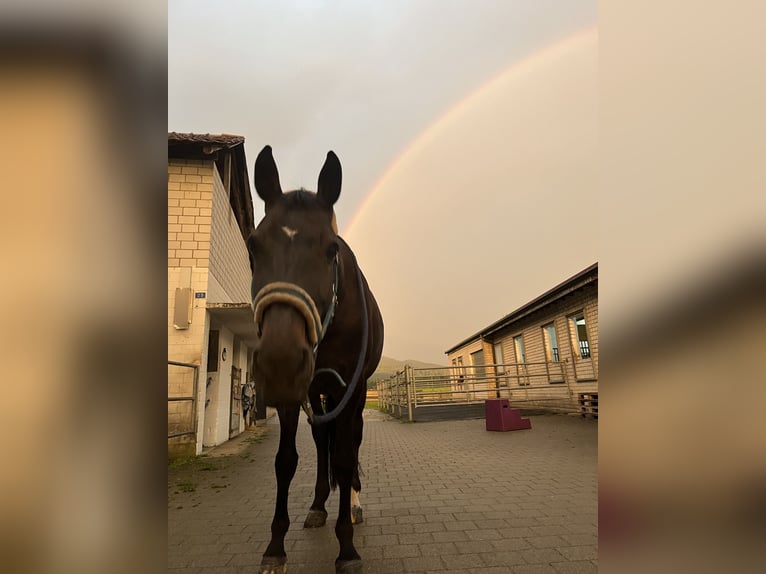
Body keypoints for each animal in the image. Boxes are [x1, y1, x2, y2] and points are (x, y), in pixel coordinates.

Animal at [250, 146, 384, 572]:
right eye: (253, 245)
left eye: (331, 249)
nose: (280, 360)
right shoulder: (295, 393)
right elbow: (286, 460)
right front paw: (276, 546)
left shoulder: (350, 388)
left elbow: (344, 455)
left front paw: (348, 548)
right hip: (315, 390)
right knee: (321, 438)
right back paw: (319, 504)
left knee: (349, 441)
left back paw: (352, 504)